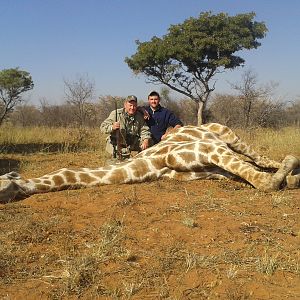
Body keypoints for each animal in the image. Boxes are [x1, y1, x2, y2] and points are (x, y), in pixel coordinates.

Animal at [0, 122, 298, 204]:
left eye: (1, 182)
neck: (151, 167)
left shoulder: (206, 149)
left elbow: (265, 181)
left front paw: (289, 171)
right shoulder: (206, 171)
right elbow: (252, 176)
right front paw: (292, 178)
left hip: (227, 134)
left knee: (259, 157)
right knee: (255, 161)